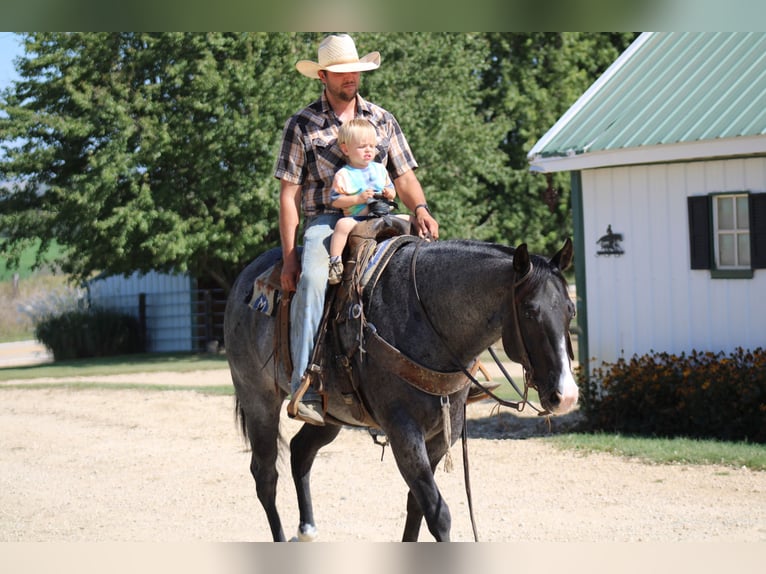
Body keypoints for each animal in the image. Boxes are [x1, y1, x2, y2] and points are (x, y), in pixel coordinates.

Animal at [225, 232, 580, 544]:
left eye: (570, 309)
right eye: (530, 311)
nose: (566, 395)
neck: (429, 322)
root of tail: (245, 279)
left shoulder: (444, 432)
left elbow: (418, 505)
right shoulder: (403, 432)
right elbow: (438, 513)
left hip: (332, 415)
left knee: (301, 452)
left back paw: (307, 529)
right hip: (259, 400)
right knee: (265, 475)